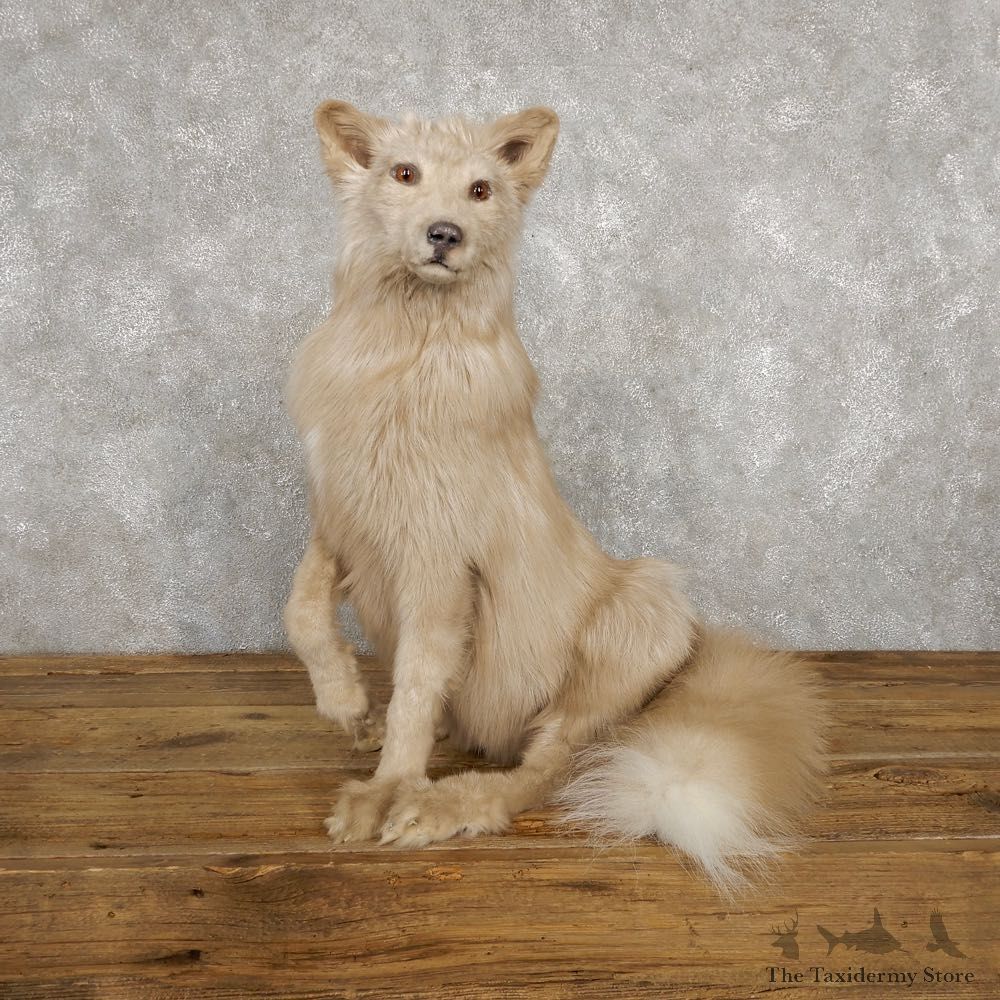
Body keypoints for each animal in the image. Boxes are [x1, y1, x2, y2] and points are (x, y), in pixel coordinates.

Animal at [283, 100, 828, 893]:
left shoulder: (437, 565)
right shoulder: (341, 519)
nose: (444, 234)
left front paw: (391, 789)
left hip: (640, 607)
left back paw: (450, 803)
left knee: (546, 766)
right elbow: (301, 614)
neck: (405, 357)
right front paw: (346, 703)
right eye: (404, 173)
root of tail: (694, 651)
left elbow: (414, 689)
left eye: (480, 190)